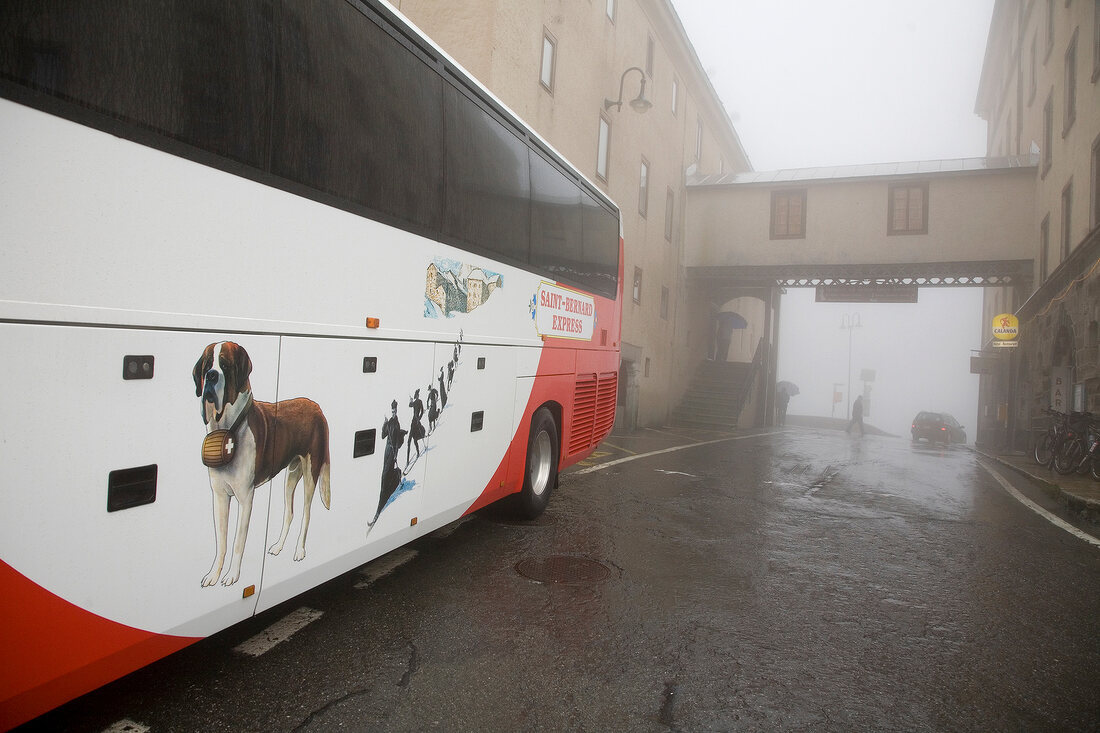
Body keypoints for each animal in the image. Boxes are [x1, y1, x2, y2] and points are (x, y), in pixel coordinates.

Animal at [193, 338, 330, 585]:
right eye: (207, 365)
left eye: (225, 365)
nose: (211, 375)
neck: (230, 426)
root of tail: (316, 406)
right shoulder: (219, 496)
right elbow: (221, 541)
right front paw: (213, 574)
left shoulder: (245, 497)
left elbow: (238, 541)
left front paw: (232, 576)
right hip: (291, 474)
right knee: (289, 512)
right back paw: (278, 546)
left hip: (311, 471)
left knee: (306, 512)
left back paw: (299, 550)